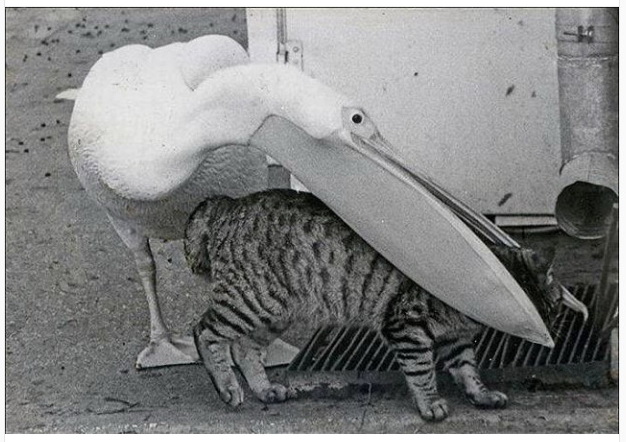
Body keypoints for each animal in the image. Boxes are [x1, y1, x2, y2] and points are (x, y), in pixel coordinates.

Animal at [184, 189, 561, 422]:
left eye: (550, 312)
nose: (552, 332)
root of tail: (229, 203)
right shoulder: (406, 325)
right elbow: (422, 370)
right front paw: (430, 404)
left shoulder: (456, 339)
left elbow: (468, 368)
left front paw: (481, 395)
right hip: (252, 299)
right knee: (204, 331)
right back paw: (227, 387)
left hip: (276, 311)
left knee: (244, 348)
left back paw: (264, 390)